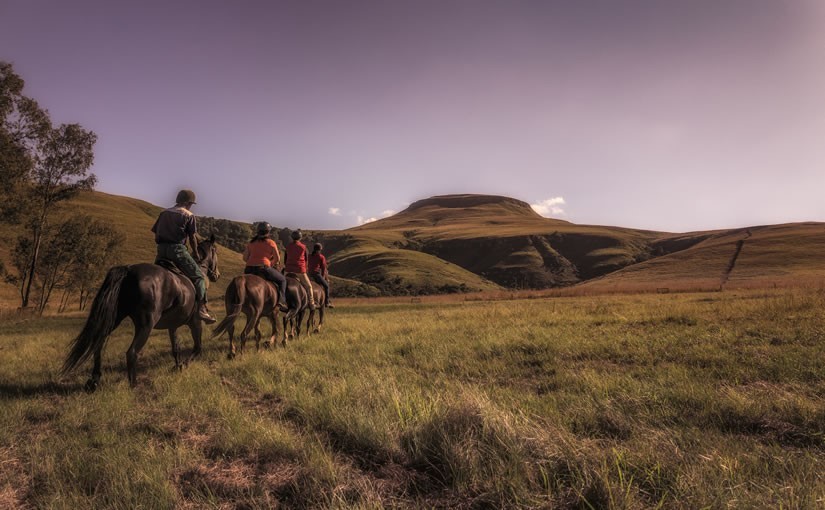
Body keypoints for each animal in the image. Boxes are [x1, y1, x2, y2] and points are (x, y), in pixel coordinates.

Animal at [61, 235, 220, 390]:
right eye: (215, 251)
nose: (216, 275)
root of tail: (128, 271)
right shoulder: (195, 322)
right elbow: (198, 348)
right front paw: (184, 366)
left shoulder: (172, 325)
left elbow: (176, 348)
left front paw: (177, 366)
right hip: (146, 325)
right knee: (131, 352)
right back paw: (134, 385)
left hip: (114, 319)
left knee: (98, 344)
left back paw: (94, 380)